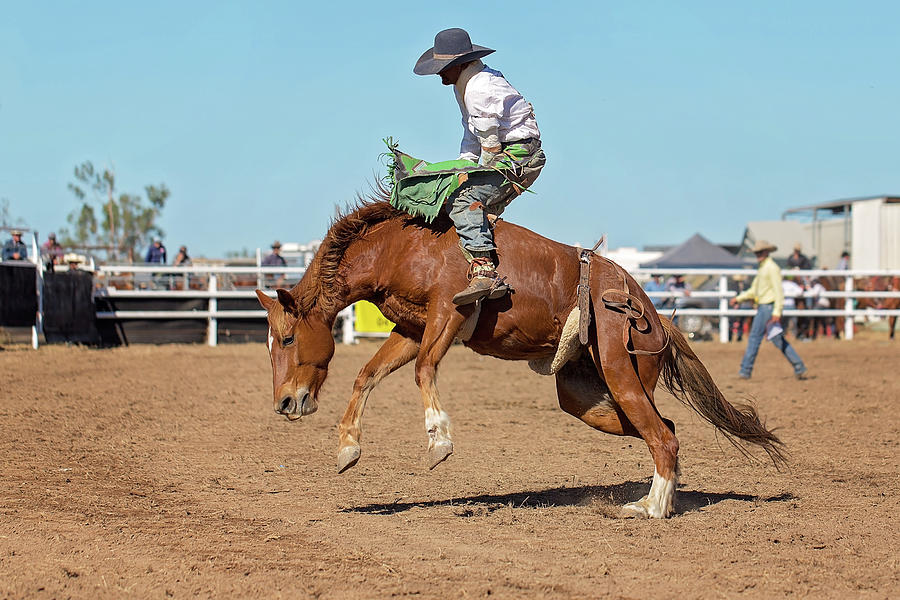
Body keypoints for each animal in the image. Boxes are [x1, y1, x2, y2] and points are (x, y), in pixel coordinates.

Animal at [253, 190, 780, 516]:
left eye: (286, 339)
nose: (283, 403)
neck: (404, 244)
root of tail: (649, 307)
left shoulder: (447, 313)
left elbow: (424, 370)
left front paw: (438, 440)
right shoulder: (411, 327)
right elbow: (368, 374)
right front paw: (347, 448)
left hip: (620, 370)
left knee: (663, 436)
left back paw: (649, 508)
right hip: (585, 396)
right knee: (664, 428)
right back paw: (666, 499)